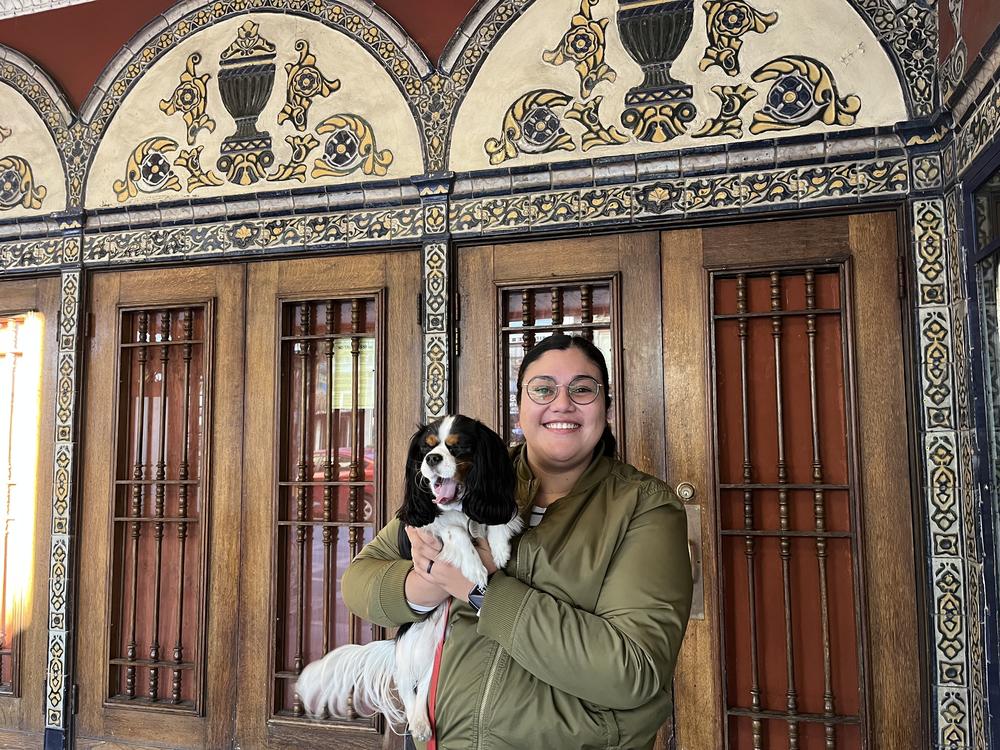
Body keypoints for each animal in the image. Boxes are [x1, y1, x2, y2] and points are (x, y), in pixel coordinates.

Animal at [294, 418, 524, 740]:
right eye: (426, 449)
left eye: (458, 447)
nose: (432, 459)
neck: (458, 506)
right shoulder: (426, 529)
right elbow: (455, 530)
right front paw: (475, 567)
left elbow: (497, 520)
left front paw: (500, 547)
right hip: (413, 641)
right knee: (406, 685)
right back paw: (418, 725)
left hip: (435, 641)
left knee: (426, 684)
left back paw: (421, 722)